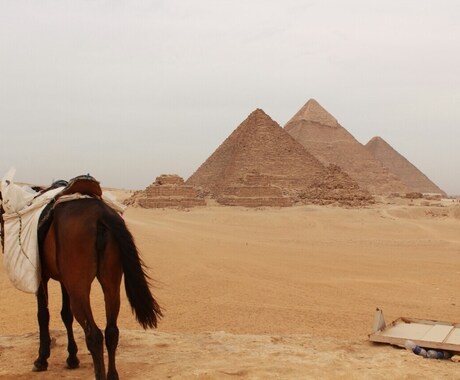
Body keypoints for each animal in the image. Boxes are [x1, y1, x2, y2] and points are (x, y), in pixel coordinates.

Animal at [0, 189, 162, 378]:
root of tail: (100, 213)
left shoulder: (41, 276)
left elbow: (43, 315)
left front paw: (41, 359)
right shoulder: (65, 280)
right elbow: (66, 314)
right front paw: (72, 358)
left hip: (79, 287)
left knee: (94, 335)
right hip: (110, 284)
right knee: (111, 330)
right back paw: (112, 375)